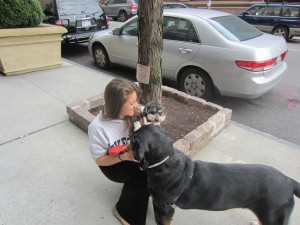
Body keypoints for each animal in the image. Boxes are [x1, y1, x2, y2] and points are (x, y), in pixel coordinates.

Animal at [131, 125, 300, 225]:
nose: (126, 139)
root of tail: (289, 181)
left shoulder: (165, 208)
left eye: (133, 140)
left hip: (274, 216)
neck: (165, 161)